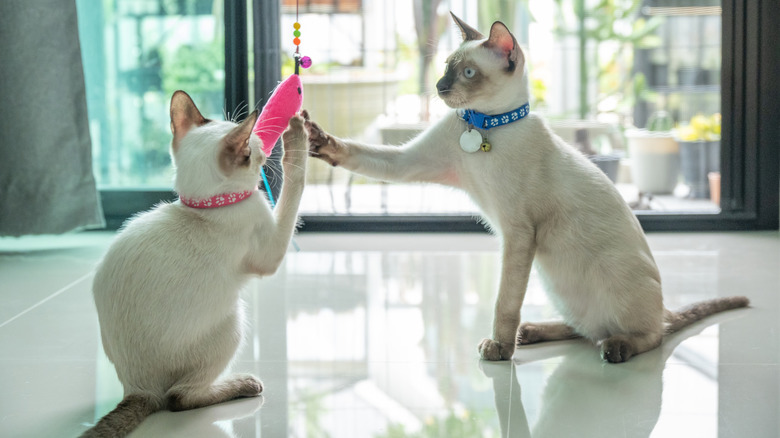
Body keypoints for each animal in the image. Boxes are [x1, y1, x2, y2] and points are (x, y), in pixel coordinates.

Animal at [304, 13, 748, 362]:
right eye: (446, 67)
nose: (440, 87)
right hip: (557, 284)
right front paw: (318, 141)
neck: (482, 126)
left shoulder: (518, 233)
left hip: (603, 280)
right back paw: (532, 332)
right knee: (587, 329)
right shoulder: (409, 163)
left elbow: (505, 301)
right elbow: (364, 155)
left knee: (647, 335)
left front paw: (499, 349)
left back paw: (611, 347)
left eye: (467, 73)